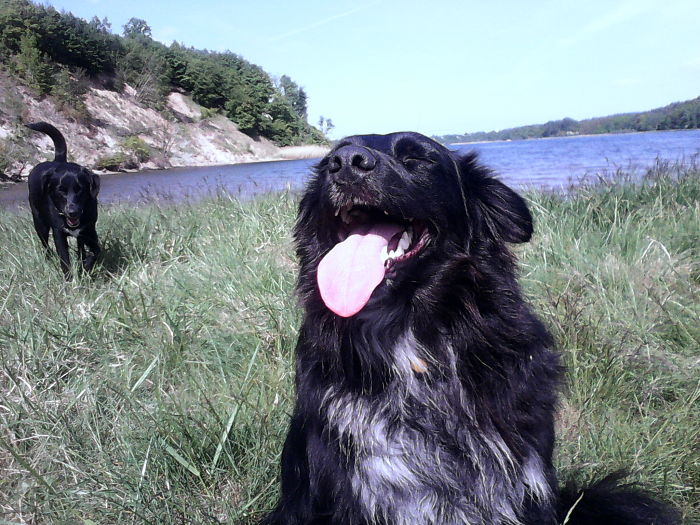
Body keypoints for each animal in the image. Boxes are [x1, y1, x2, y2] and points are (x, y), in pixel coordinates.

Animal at [25, 122, 100, 278]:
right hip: (39, 223)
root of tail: (58, 160)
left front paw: (85, 268)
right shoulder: (58, 233)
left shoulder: (89, 230)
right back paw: (48, 259)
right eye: (61, 190)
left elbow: (95, 251)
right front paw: (70, 280)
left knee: (80, 247)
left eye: (80, 189)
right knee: (45, 245)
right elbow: (65, 260)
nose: (72, 212)